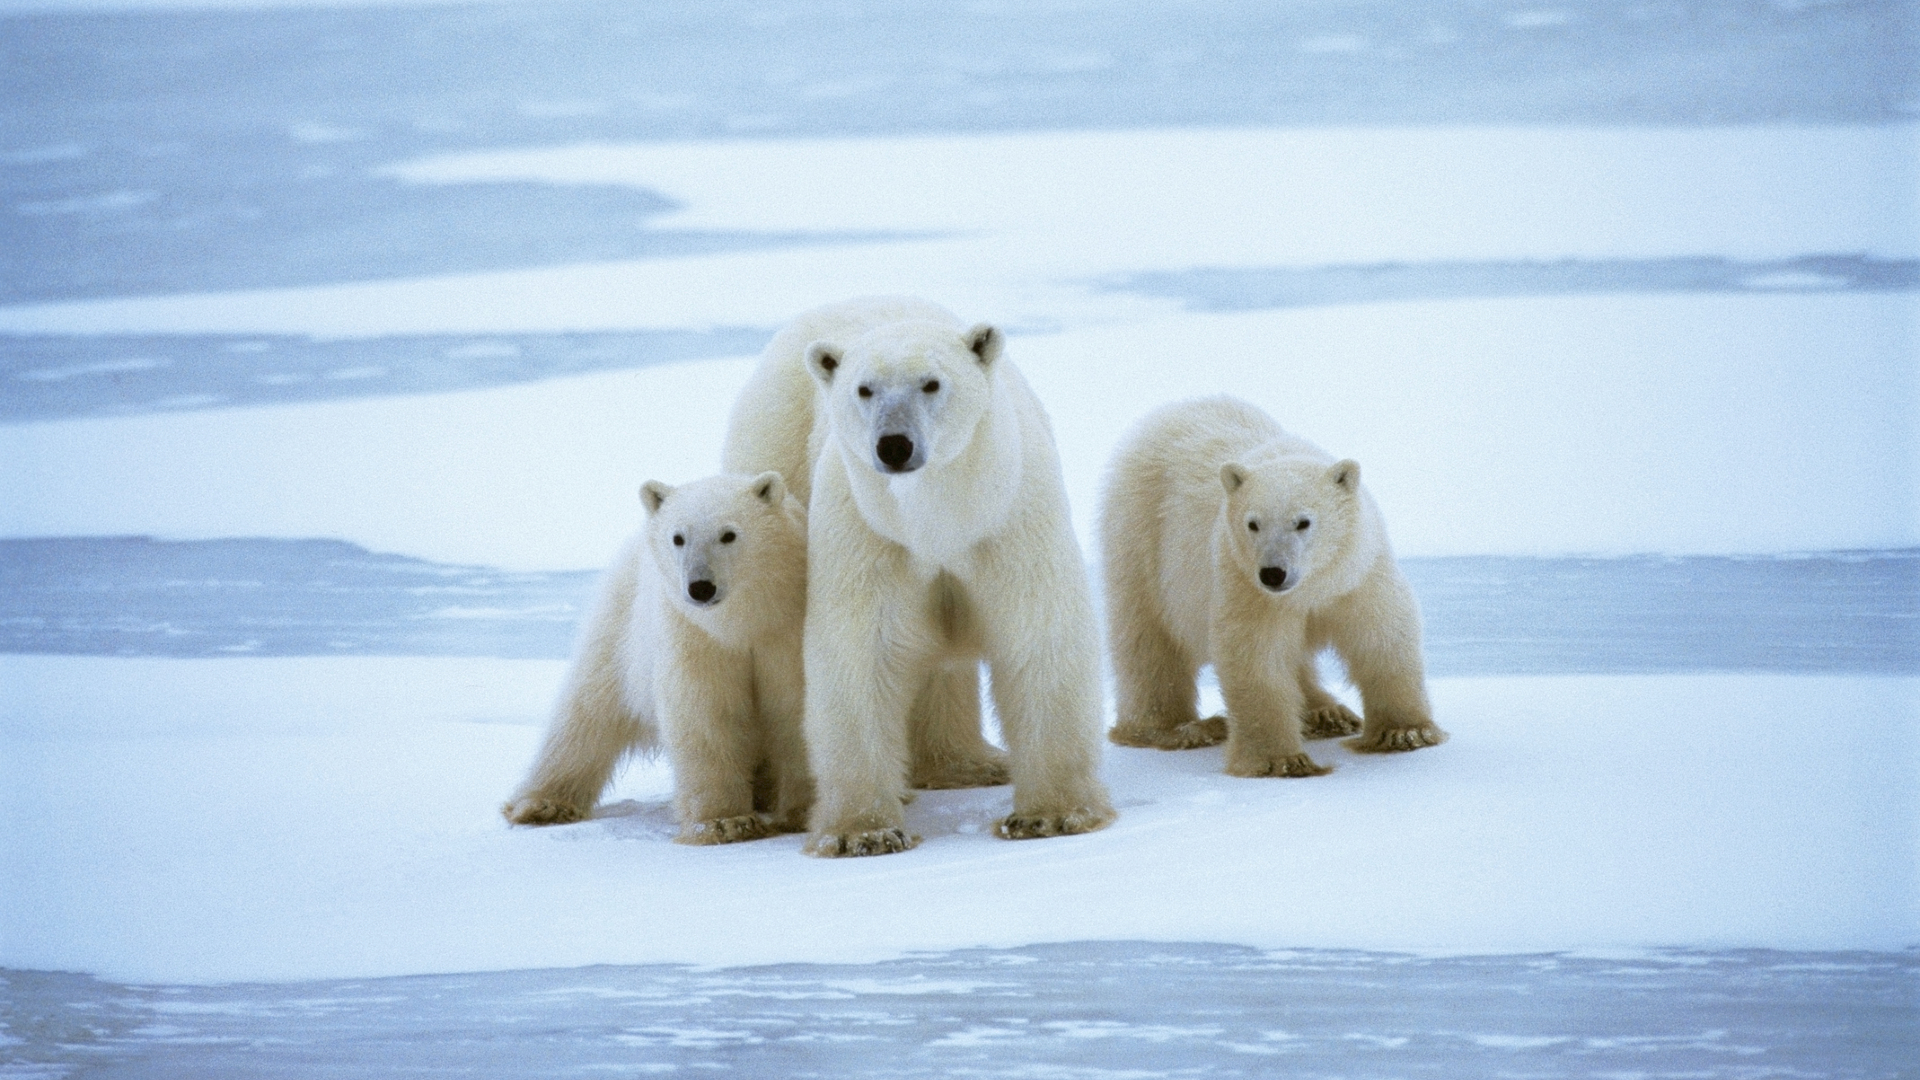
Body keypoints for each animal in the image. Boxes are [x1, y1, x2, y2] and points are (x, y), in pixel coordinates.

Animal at [502, 471, 813, 844]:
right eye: (678, 537)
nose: (700, 587)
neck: (742, 624)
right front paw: (725, 822)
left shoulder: (785, 632)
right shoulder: (694, 635)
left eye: (729, 534)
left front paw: (802, 813)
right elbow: (705, 713)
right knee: (585, 716)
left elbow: (794, 710)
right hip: (621, 630)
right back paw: (543, 804)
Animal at [721, 296, 1115, 857]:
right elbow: (859, 654)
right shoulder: (869, 534)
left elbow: (1038, 638)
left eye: (931, 383)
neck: (939, 520)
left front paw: (1052, 816)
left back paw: (966, 764)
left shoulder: (1009, 521)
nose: (894, 445)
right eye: (864, 389)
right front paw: (864, 832)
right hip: (778, 451)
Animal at [1099, 395, 1445, 777]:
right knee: (1147, 641)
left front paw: (1404, 732)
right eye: (1253, 524)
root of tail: (1170, 412)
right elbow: (1257, 658)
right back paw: (1180, 728)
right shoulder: (1246, 585)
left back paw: (1327, 713)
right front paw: (1281, 760)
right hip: (1140, 536)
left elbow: (1382, 637)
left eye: (1303, 522)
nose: (1273, 573)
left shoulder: (1356, 575)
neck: (1311, 586)